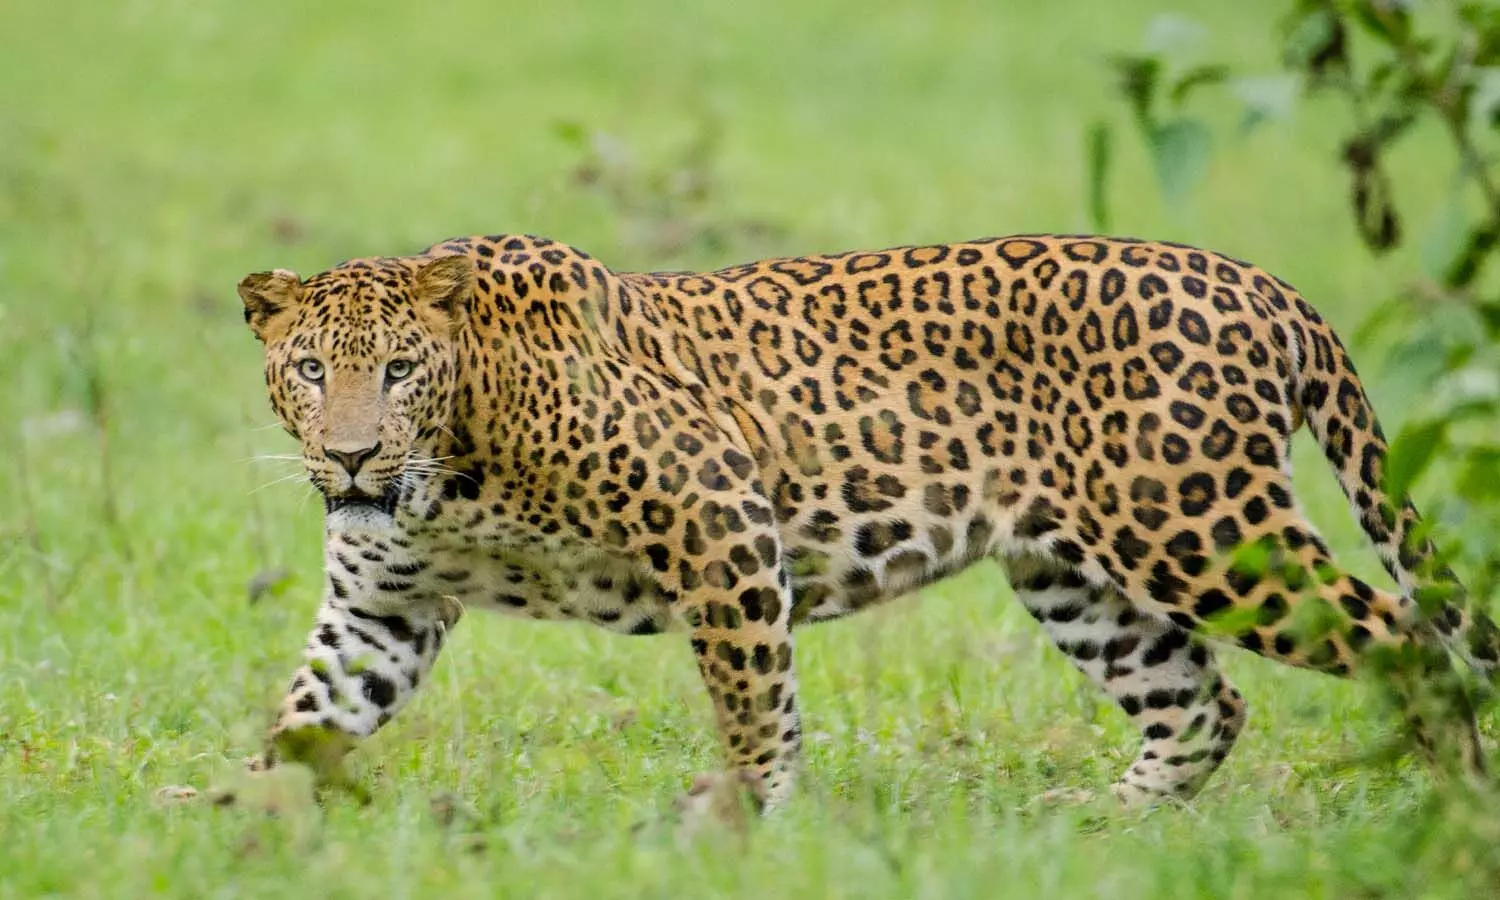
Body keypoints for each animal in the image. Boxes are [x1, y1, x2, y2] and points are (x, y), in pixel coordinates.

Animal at [237, 232, 1500, 810]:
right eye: (311, 369)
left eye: (400, 370)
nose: (350, 455)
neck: (449, 471)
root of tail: (1262, 283)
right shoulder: (382, 608)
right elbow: (307, 715)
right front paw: (235, 821)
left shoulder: (718, 513)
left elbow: (753, 698)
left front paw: (744, 820)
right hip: (1076, 574)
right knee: (1204, 703)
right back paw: (1103, 825)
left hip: (1199, 531)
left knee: (1407, 642)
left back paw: (1449, 812)